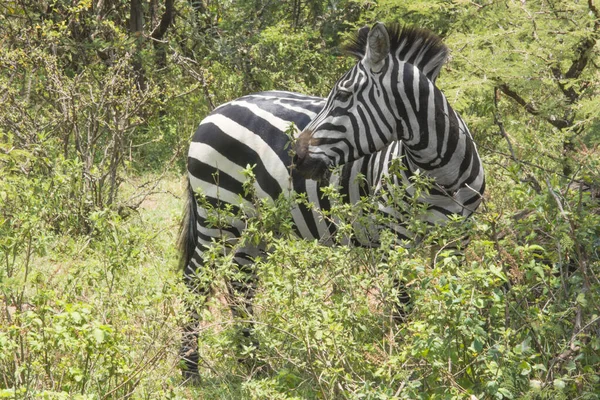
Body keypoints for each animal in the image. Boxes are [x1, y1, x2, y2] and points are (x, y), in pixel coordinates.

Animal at [177, 21, 482, 378]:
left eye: (344, 96)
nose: (294, 157)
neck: (441, 174)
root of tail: (214, 111)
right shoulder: (396, 238)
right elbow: (403, 305)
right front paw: (409, 367)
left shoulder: (459, 239)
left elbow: (453, 296)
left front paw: (457, 360)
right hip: (219, 213)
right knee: (195, 283)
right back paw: (190, 369)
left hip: (255, 223)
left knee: (241, 283)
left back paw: (254, 362)